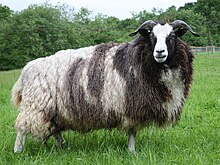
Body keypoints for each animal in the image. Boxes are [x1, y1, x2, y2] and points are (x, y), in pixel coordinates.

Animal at [12, 20, 199, 153]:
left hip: (54, 108)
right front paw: (132, 151)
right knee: (22, 128)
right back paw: (18, 151)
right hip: (35, 106)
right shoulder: (131, 105)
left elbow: (132, 131)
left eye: (172, 37)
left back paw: (62, 146)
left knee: (55, 128)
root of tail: (25, 71)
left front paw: (131, 151)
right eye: (152, 36)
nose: (160, 52)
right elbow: (132, 131)